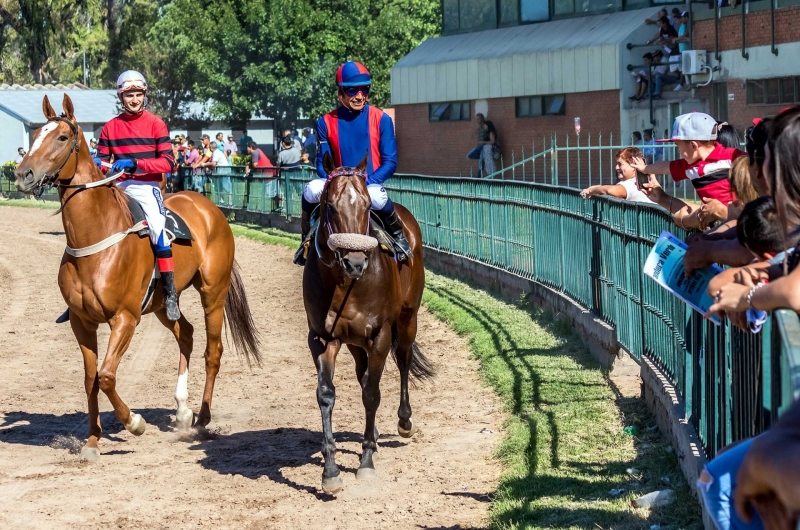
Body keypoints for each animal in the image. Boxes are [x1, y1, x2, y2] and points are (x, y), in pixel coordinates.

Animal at [14, 94, 260, 458]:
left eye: (61, 137)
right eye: (33, 136)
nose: (23, 174)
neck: (94, 238)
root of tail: (209, 208)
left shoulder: (125, 318)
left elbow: (106, 376)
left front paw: (134, 422)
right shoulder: (81, 321)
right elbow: (90, 379)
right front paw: (92, 441)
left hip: (212, 292)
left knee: (212, 351)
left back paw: (202, 419)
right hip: (161, 304)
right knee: (186, 334)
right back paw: (183, 411)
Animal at [304, 153, 434, 490]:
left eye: (365, 205)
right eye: (330, 206)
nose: (355, 261)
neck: (345, 283)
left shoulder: (380, 335)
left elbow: (372, 394)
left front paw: (366, 461)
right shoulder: (323, 337)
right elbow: (326, 394)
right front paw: (330, 470)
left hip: (407, 318)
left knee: (403, 360)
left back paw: (404, 421)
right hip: (354, 341)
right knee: (362, 372)